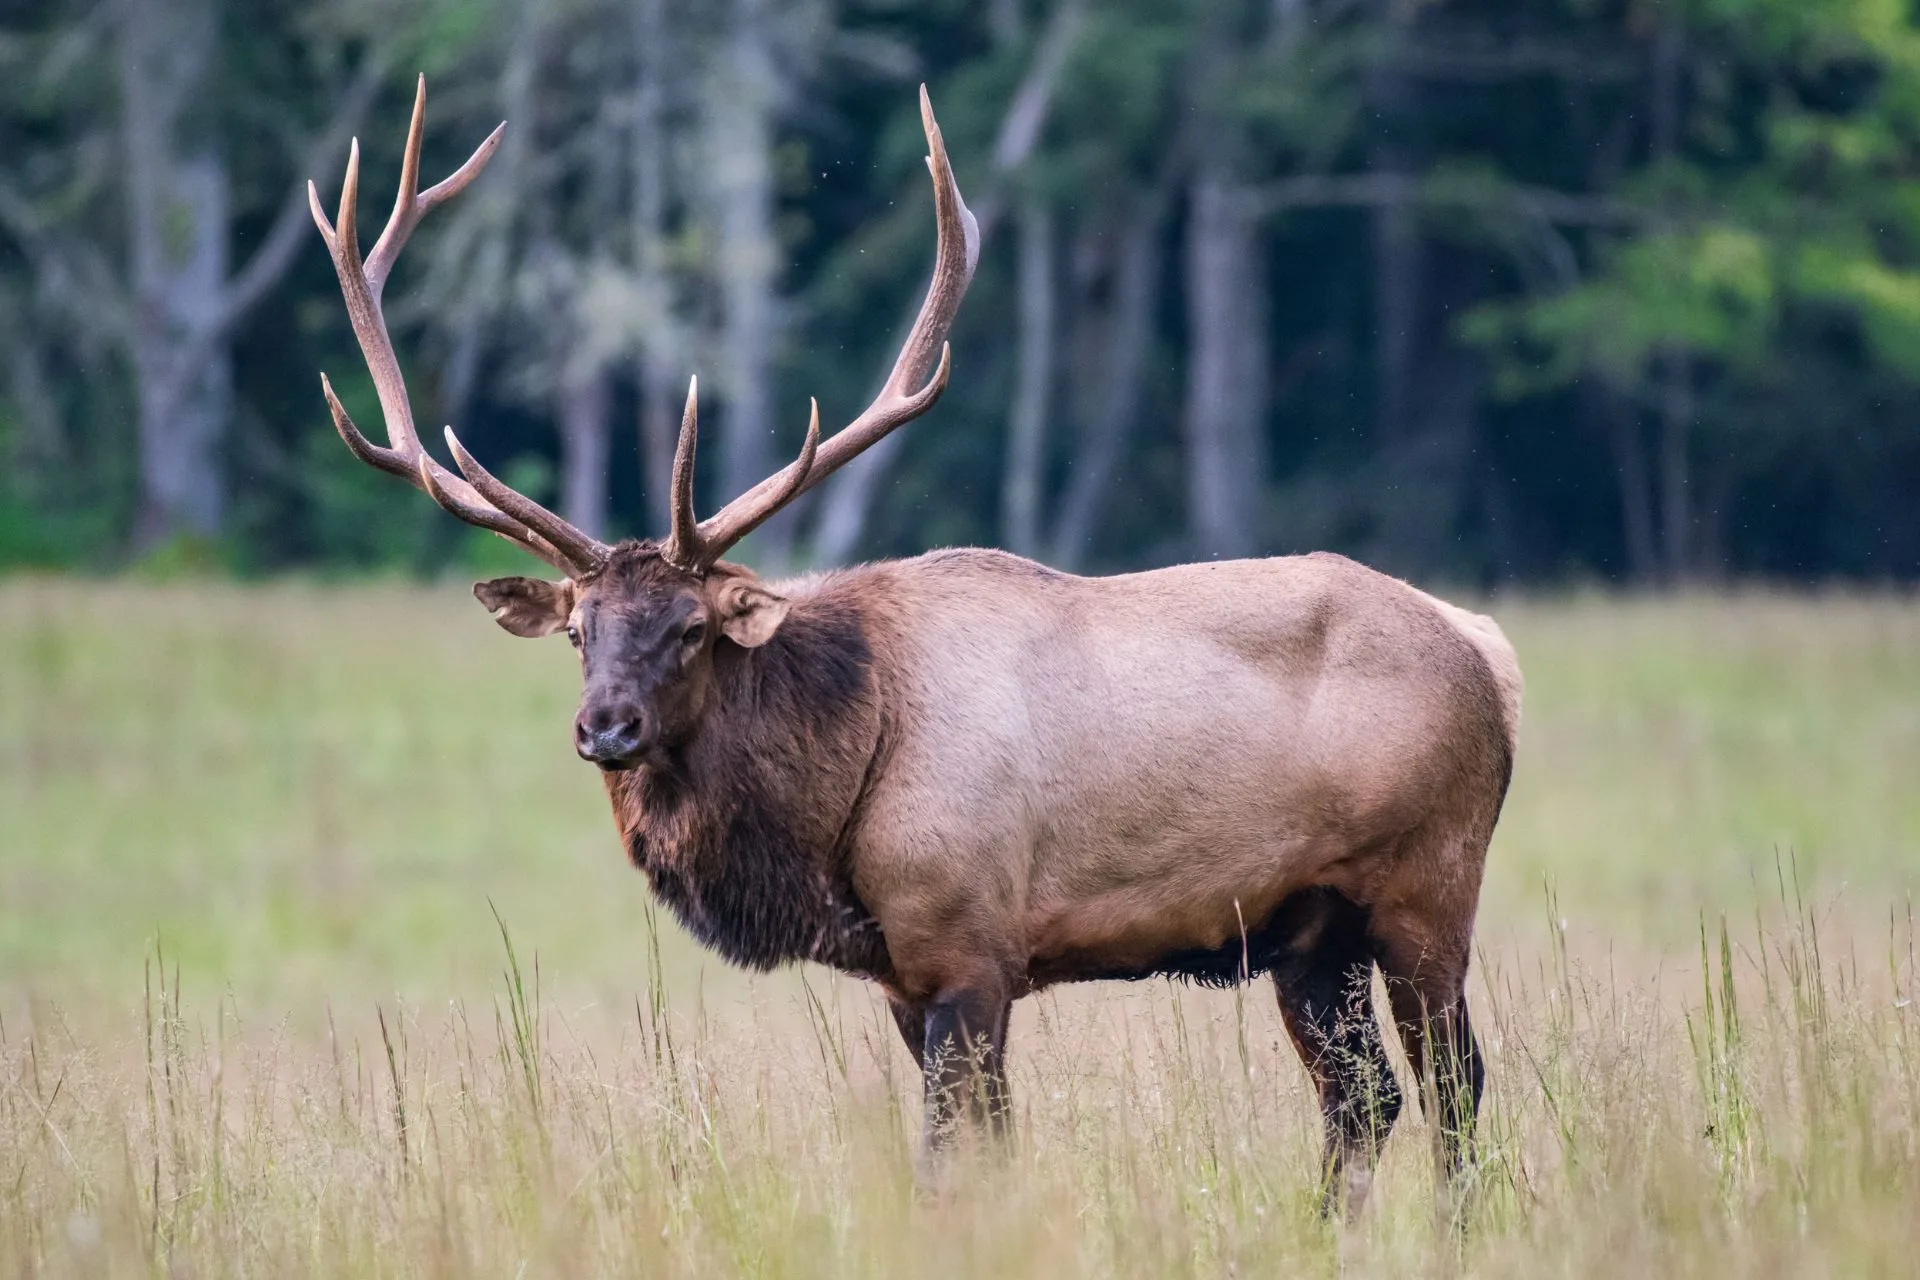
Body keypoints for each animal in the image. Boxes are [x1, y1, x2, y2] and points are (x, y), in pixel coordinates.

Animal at [310, 77, 1522, 1216]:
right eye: (577, 628)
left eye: (692, 628)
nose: (604, 728)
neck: (833, 800)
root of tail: (1489, 651)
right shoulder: (906, 977)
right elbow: (989, 1152)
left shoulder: (970, 946)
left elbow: (948, 1161)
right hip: (1309, 932)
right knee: (1363, 1100)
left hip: (1428, 884)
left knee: (1458, 1093)